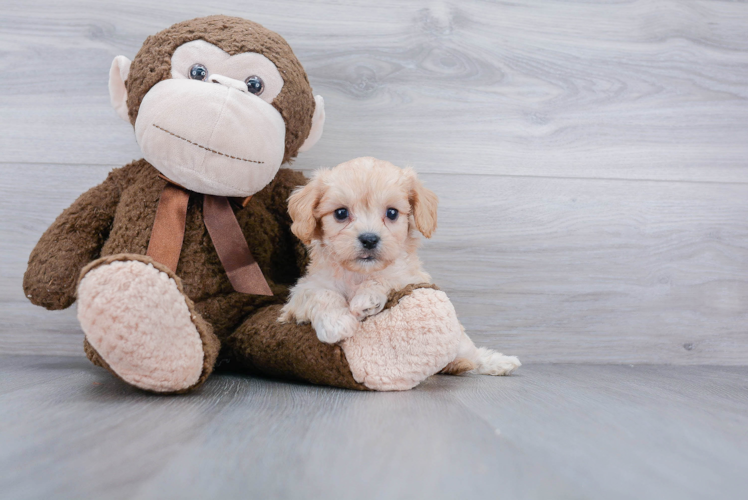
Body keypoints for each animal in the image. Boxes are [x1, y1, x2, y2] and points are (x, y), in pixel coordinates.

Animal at [280, 156, 520, 376]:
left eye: (392, 213)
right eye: (341, 213)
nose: (369, 239)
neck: (359, 274)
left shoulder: (411, 277)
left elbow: (388, 277)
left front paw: (366, 299)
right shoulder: (301, 293)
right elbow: (322, 294)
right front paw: (337, 323)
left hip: (462, 343)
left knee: (472, 354)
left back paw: (492, 362)